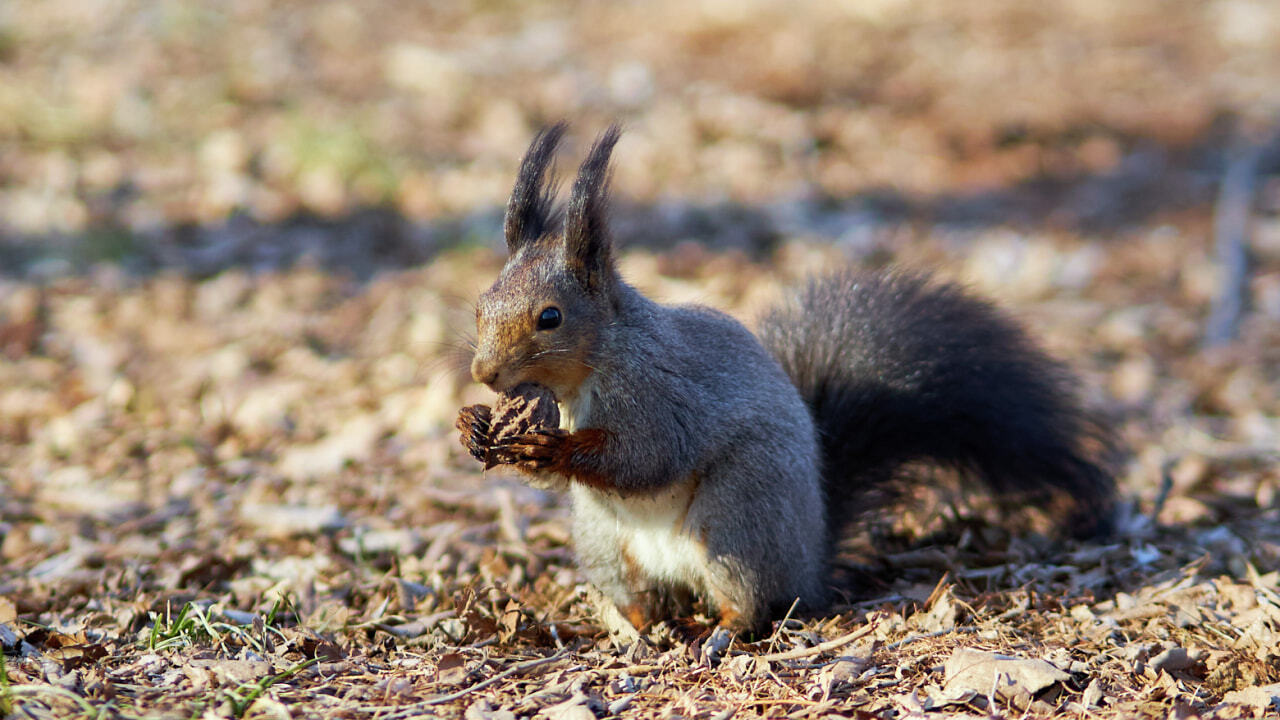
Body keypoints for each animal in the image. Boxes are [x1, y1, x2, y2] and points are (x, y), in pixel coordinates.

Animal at [455, 121, 1116, 632]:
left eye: (550, 317)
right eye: (481, 304)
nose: (483, 373)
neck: (593, 367)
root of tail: (811, 560)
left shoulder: (662, 392)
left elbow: (648, 457)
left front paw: (553, 445)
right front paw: (475, 427)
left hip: (740, 517)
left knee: (751, 604)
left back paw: (717, 631)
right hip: (605, 542)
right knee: (642, 598)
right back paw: (634, 627)